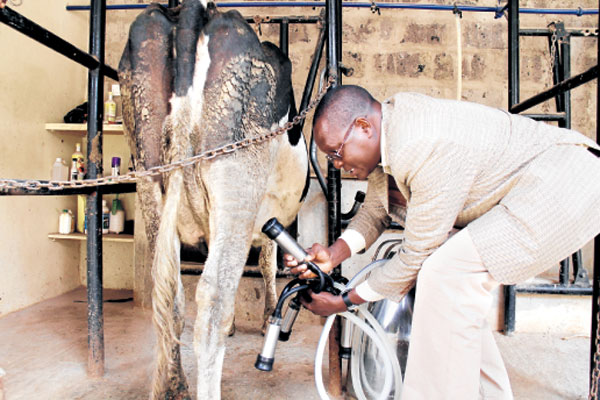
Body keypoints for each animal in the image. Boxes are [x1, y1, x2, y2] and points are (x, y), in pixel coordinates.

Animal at [116, 1, 308, 398]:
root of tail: (194, 11)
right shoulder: (266, 215)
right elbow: (267, 263)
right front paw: (267, 318)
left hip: (147, 173)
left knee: (171, 298)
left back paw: (176, 387)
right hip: (236, 176)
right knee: (212, 302)